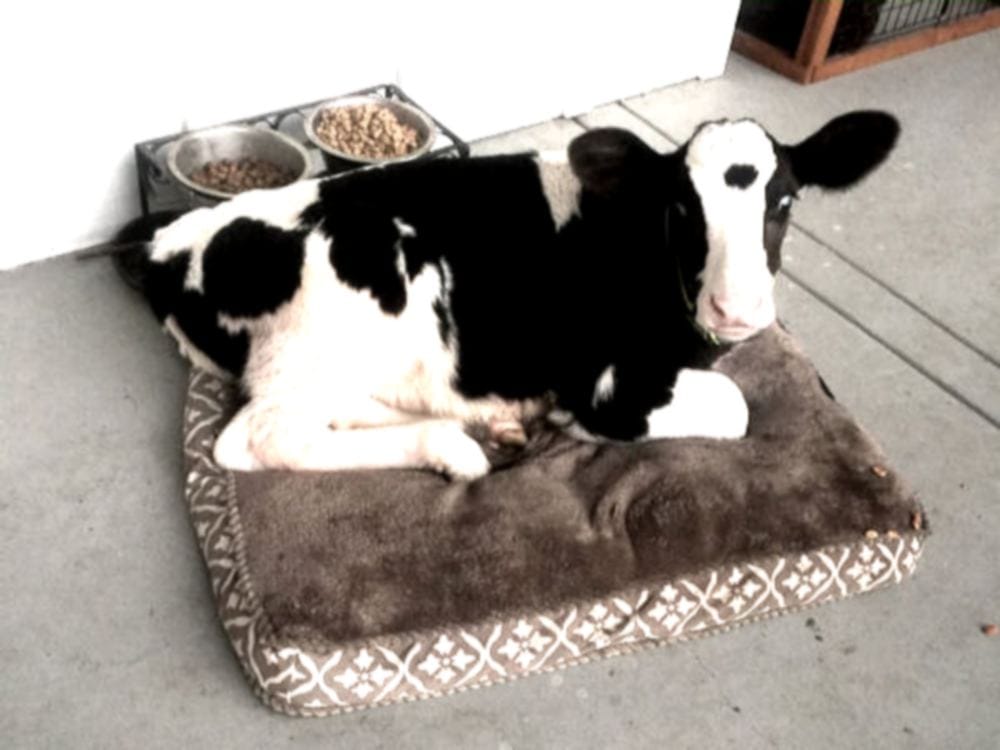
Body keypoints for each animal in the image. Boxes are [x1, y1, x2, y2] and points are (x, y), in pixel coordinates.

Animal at [119, 110, 899, 480]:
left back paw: (481, 427)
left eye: (786, 201)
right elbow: (736, 408)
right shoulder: (606, 377)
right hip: (352, 300)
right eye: (682, 205)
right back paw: (455, 450)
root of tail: (175, 239)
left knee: (343, 409)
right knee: (261, 437)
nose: (736, 309)